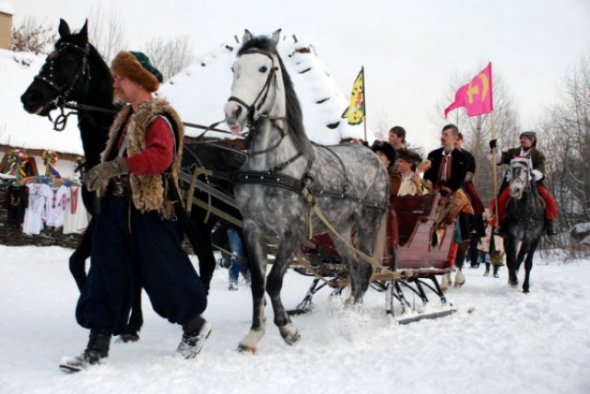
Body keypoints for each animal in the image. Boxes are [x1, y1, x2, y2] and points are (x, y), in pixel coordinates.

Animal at [20, 17, 243, 338]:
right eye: (50, 56)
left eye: (69, 59)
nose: (30, 97)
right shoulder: (102, 215)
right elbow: (78, 262)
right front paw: (121, 320)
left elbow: (132, 270)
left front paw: (128, 324)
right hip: (200, 223)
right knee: (209, 260)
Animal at [224, 30, 390, 350]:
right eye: (234, 68)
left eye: (263, 69)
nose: (233, 111)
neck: (271, 167)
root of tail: (374, 156)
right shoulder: (252, 227)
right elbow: (259, 283)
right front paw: (254, 333)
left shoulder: (294, 231)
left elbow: (274, 280)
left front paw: (288, 330)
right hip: (339, 229)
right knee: (352, 267)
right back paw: (347, 310)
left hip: (369, 223)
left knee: (364, 270)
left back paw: (354, 320)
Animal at [504, 159, 544, 292]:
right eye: (510, 170)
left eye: (526, 171)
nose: (515, 190)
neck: (525, 214)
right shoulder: (512, 236)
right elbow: (510, 259)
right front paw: (513, 281)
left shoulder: (534, 238)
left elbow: (528, 263)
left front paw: (526, 287)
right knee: (511, 258)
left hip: (526, 241)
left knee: (520, 258)